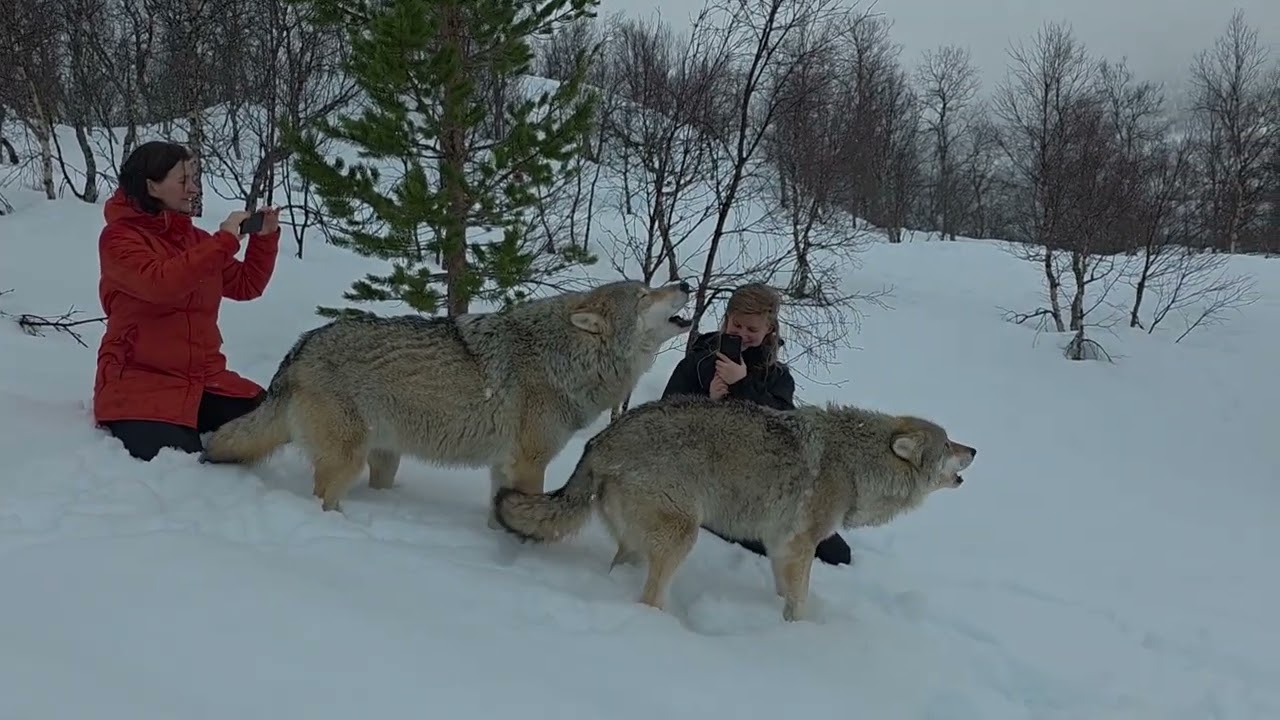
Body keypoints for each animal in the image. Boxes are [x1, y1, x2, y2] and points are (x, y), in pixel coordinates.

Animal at [201, 279, 695, 515]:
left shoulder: (503, 467)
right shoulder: (529, 464)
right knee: (323, 496)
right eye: (646, 294)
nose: (687, 284)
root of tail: (301, 345)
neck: (565, 356)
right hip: (347, 461)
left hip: (384, 458)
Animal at [493, 395, 976, 622]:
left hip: (636, 541)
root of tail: (600, 440)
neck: (858, 464)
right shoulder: (801, 545)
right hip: (683, 534)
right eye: (949, 444)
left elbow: (786, 591)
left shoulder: (782, 546)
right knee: (649, 598)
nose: (975, 449)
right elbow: (799, 599)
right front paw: (800, 634)